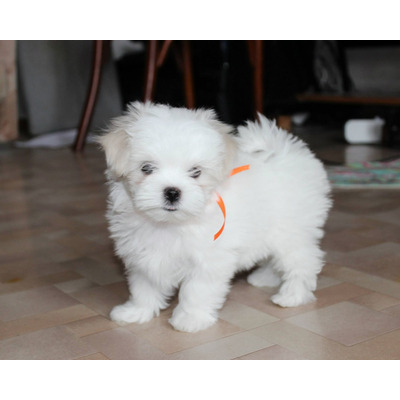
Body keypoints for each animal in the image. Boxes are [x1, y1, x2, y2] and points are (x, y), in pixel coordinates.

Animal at [97, 101, 332, 332]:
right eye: (146, 168)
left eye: (196, 172)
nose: (172, 192)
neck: (169, 224)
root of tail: (287, 150)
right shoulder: (144, 256)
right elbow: (144, 288)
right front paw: (136, 312)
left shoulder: (208, 260)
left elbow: (196, 290)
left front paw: (190, 319)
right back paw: (264, 278)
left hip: (291, 232)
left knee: (302, 261)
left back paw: (293, 295)